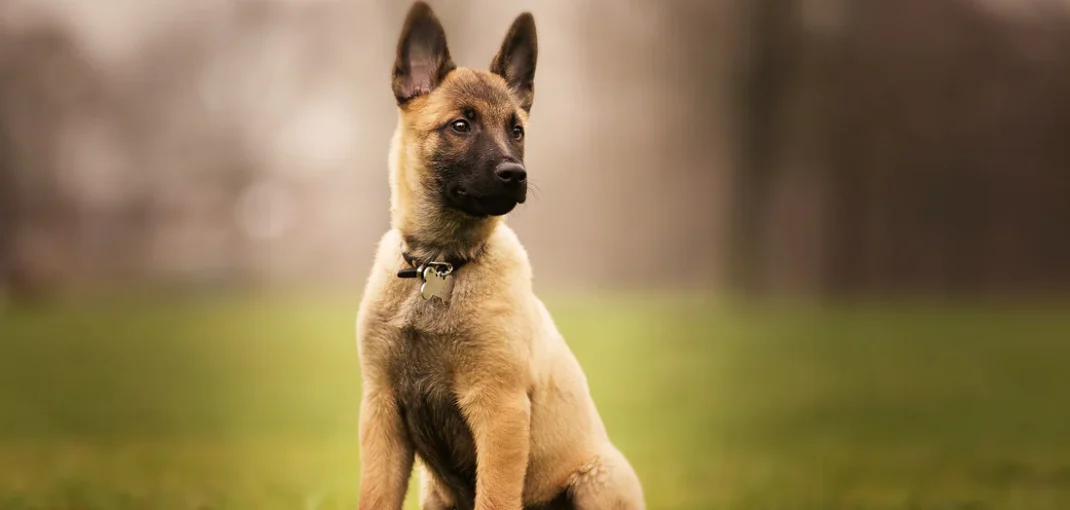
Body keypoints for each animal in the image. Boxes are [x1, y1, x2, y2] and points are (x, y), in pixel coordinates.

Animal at [357, 1, 642, 506]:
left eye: (517, 130)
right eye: (460, 125)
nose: (515, 175)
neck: (440, 265)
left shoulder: (499, 409)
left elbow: (495, 495)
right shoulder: (381, 409)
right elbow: (375, 496)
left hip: (599, 480)